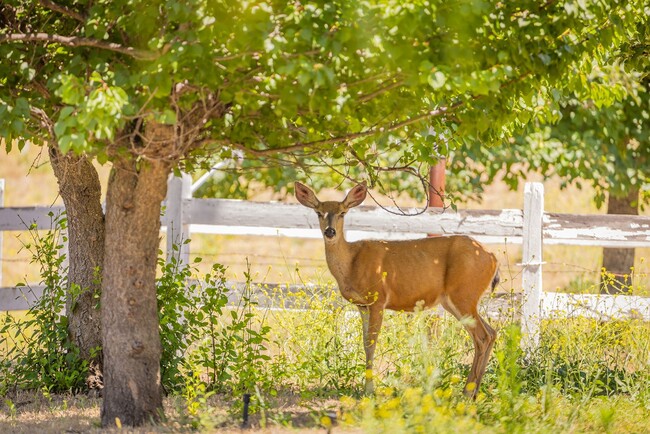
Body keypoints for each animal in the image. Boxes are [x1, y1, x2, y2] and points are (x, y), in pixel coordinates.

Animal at [296, 181, 498, 398]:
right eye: (318, 212)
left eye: (343, 212)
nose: (330, 232)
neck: (351, 263)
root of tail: (492, 257)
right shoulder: (362, 305)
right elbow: (365, 343)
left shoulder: (378, 299)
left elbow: (372, 343)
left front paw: (369, 390)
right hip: (457, 300)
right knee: (490, 332)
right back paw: (474, 392)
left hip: (463, 294)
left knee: (482, 336)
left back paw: (467, 394)